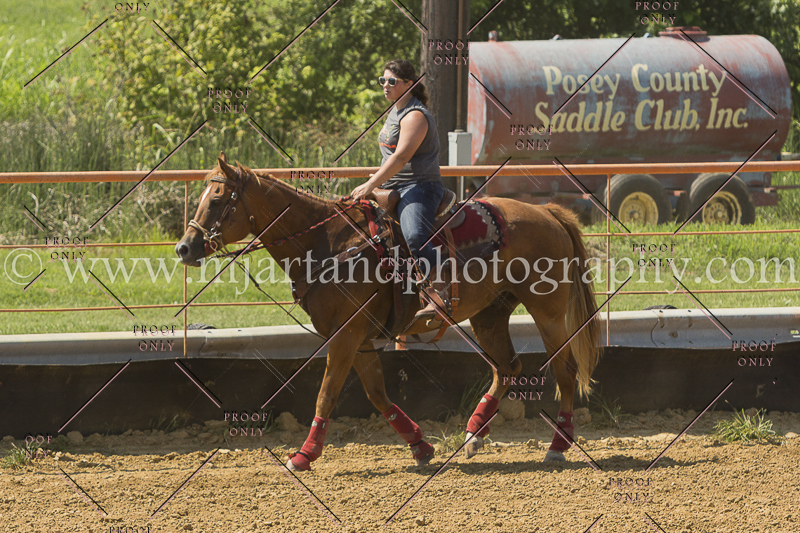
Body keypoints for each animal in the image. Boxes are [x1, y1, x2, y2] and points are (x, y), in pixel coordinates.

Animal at [175, 153, 601, 471]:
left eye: (217, 200)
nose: (184, 248)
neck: (328, 243)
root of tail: (549, 212)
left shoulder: (345, 335)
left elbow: (327, 394)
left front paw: (303, 455)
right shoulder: (359, 340)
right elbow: (377, 394)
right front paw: (420, 447)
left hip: (547, 311)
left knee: (564, 371)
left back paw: (558, 446)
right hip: (490, 315)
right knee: (507, 368)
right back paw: (473, 433)